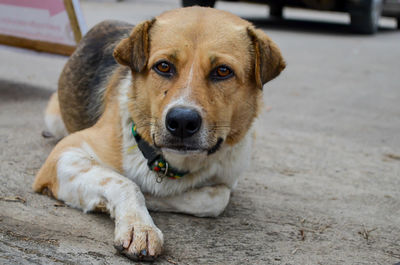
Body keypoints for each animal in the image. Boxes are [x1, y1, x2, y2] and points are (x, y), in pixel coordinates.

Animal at [32, 6, 286, 260]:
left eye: (223, 71)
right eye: (163, 66)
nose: (182, 121)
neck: (169, 162)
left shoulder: (228, 178)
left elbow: (215, 200)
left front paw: (155, 199)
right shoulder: (65, 154)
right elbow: (125, 183)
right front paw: (140, 226)